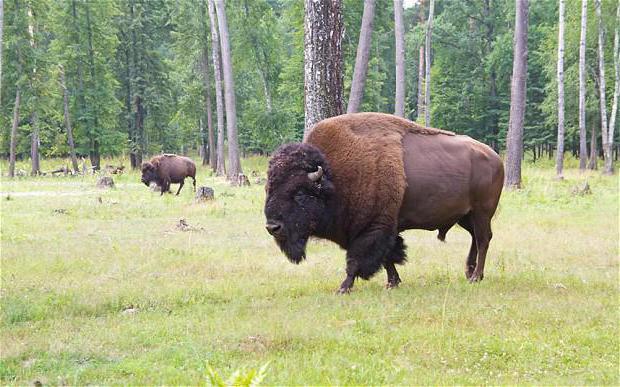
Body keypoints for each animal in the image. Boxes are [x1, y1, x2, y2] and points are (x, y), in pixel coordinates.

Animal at [266, 112, 504, 294]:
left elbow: (357, 260)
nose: (272, 227)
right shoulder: (381, 228)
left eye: (299, 193)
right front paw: (392, 283)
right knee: (475, 238)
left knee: (483, 239)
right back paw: (469, 271)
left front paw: (343, 288)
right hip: (465, 216)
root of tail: (495, 157)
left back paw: (475, 276)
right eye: (269, 188)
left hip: (482, 212)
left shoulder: (372, 228)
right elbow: (387, 256)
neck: (333, 176)